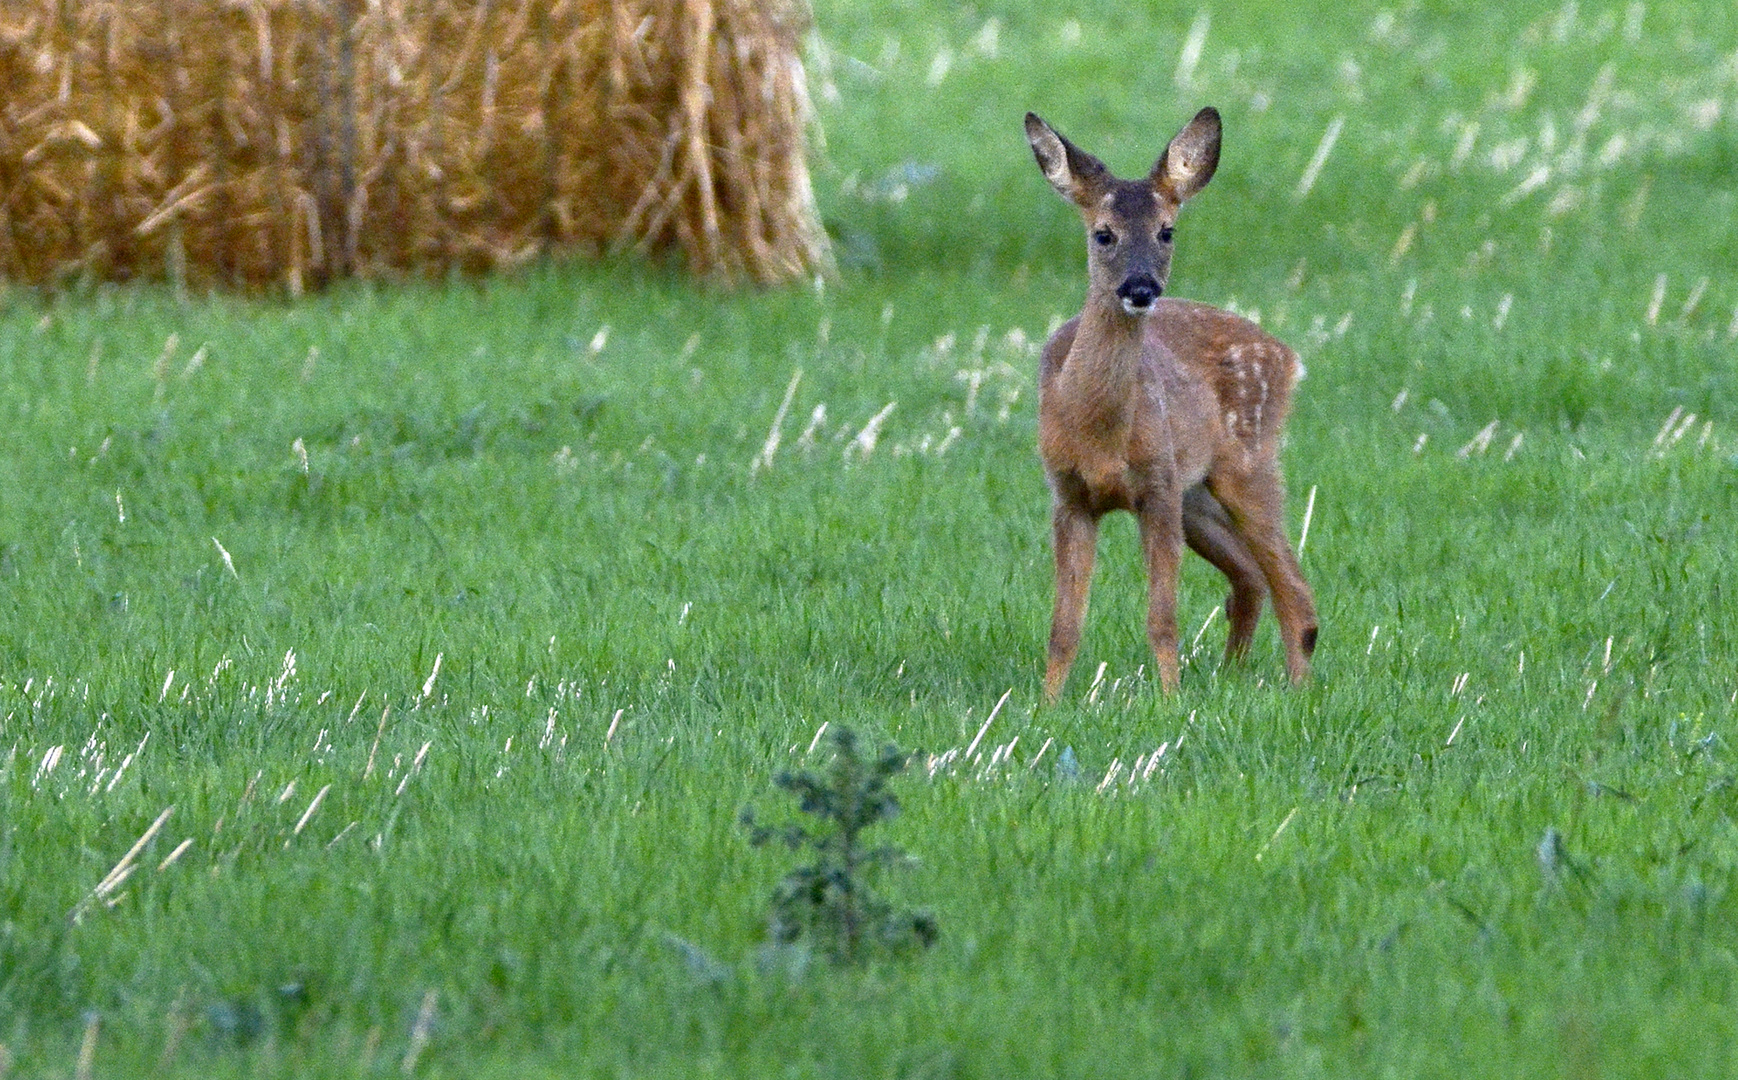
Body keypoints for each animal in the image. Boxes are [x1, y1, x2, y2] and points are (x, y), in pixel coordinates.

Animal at [1014, 105, 1313, 699]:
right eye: (1103, 234)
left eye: (1166, 231)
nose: (1140, 287)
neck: (1098, 435)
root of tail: (1289, 357)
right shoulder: (1068, 494)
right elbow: (1064, 625)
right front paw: (1048, 705)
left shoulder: (1156, 484)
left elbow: (1162, 617)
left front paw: (1170, 702)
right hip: (1195, 492)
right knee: (1251, 576)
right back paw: (1233, 674)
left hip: (1245, 463)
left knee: (1293, 586)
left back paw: (1300, 691)